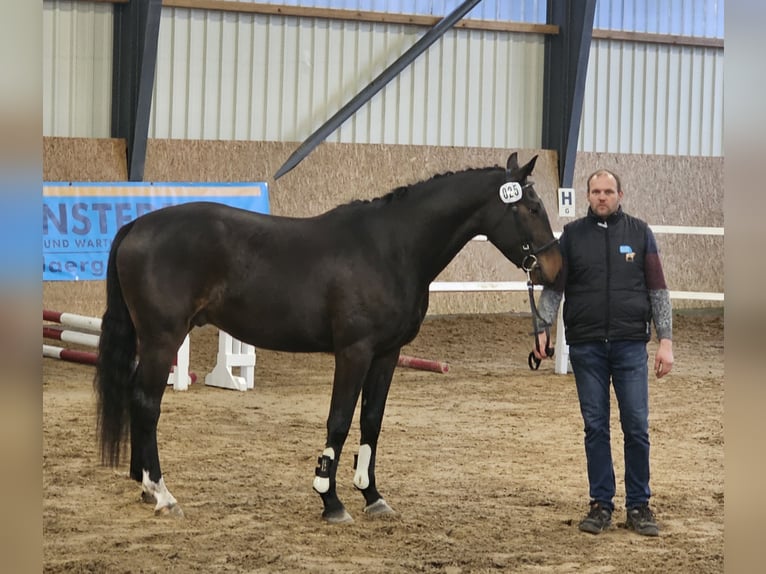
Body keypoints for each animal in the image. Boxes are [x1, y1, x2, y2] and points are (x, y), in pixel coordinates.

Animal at [94, 152, 562, 523]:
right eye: (531, 208)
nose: (555, 268)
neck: (391, 248)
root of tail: (137, 225)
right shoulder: (353, 352)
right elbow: (339, 420)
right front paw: (330, 499)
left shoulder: (387, 354)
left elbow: (371, 421)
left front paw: (372, 495)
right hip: (162, 338)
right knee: (147, 403)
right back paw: (161, 493)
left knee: (137, 398)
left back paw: (144, 485)